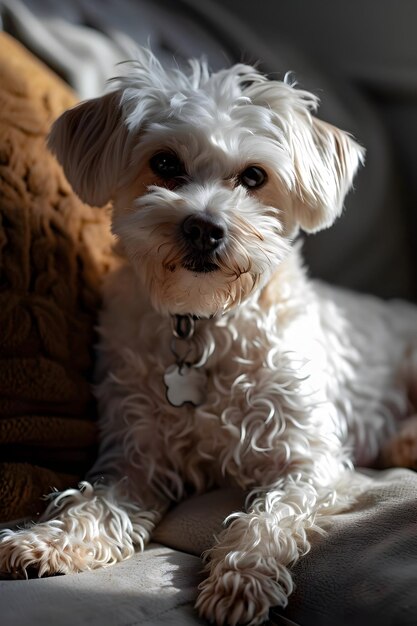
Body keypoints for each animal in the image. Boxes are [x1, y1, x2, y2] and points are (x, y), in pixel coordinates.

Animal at [2, 48, 416, 624]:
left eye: (255, 176)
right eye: (164, 164)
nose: (203, 227)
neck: (202, 321)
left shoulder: (310, 460)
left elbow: (271, 517)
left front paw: (242, 578)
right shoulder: (136, 457)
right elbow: (93, 502)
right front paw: (48, 542)